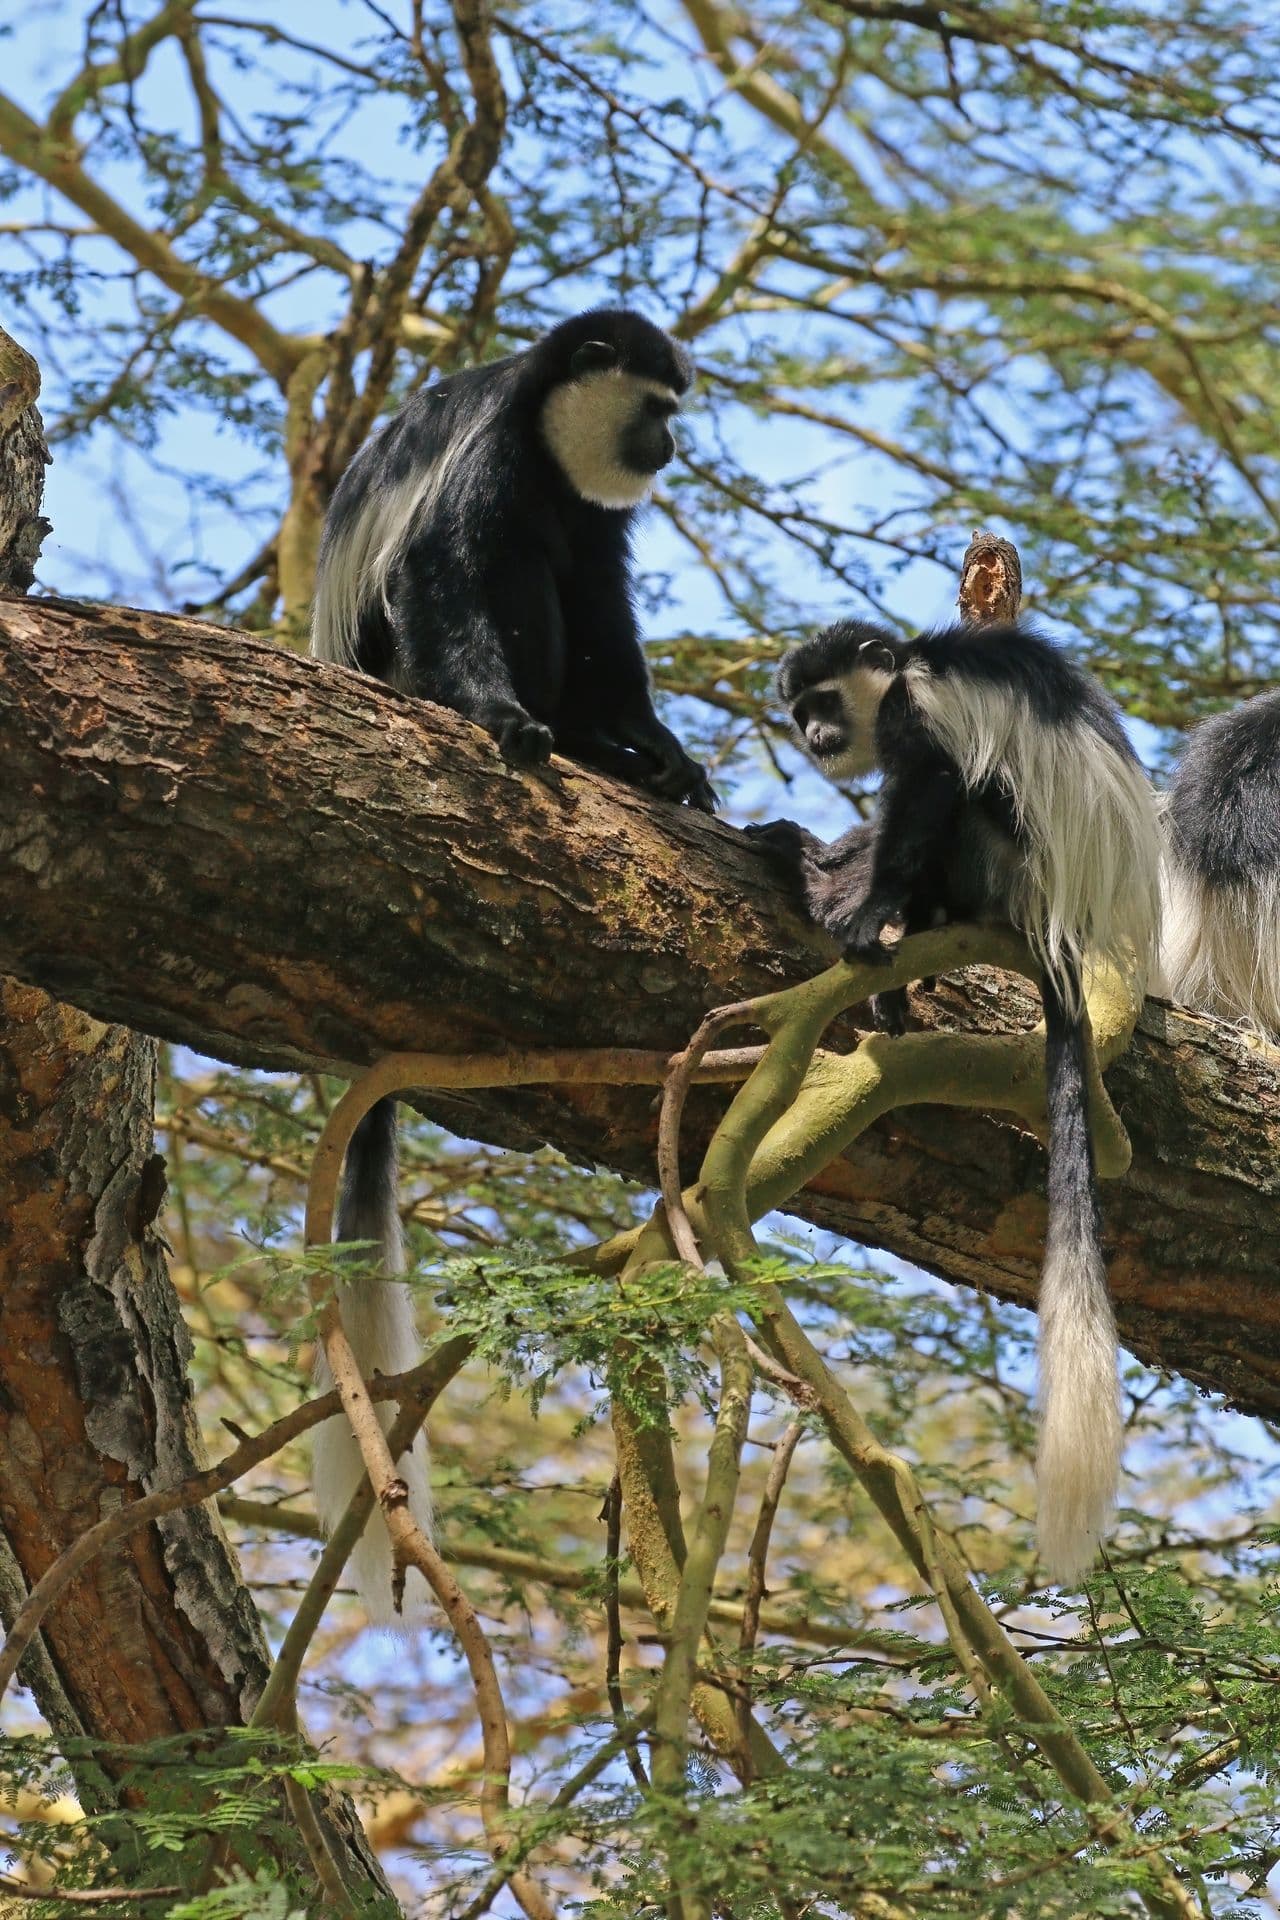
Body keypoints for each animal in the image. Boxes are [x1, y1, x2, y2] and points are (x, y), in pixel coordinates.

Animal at [756, 618, 1163, 1580]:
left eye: (822, 702)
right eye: (799, 711)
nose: (814, 736)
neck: (903, 662)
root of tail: (1064, 932)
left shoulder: (922, 712)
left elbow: (927, 790)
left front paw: (860, 914)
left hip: (1005, 862)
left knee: (956, 804)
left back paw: (832, 894)